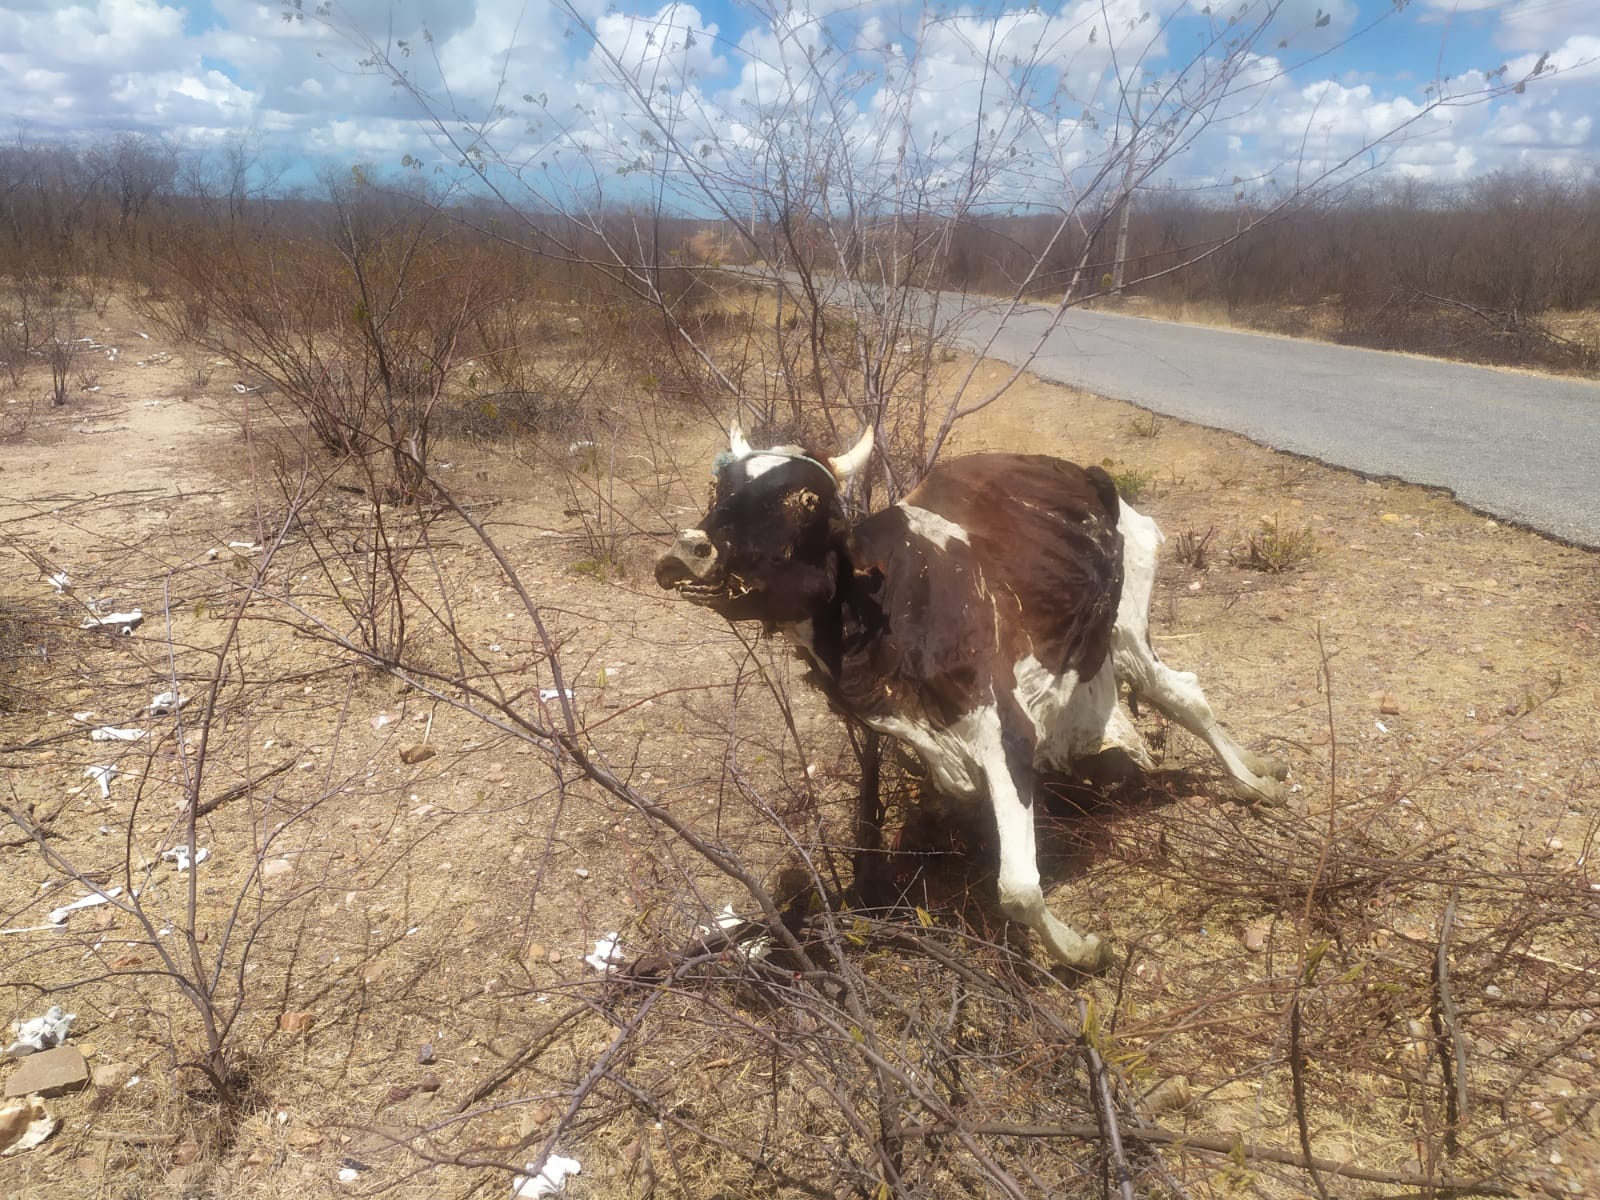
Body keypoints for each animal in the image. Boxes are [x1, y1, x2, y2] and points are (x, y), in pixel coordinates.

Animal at [649, 428, 1286, 972]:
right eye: (721, 488)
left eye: (805, 499)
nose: (691, 548)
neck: (888, 605)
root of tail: (1076, 468)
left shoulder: (1007, 728)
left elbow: (1019, 889)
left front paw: (1081, 952)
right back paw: (1259, 768)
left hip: (1125, 618)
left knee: (1179, 693)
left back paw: (1257, 783)